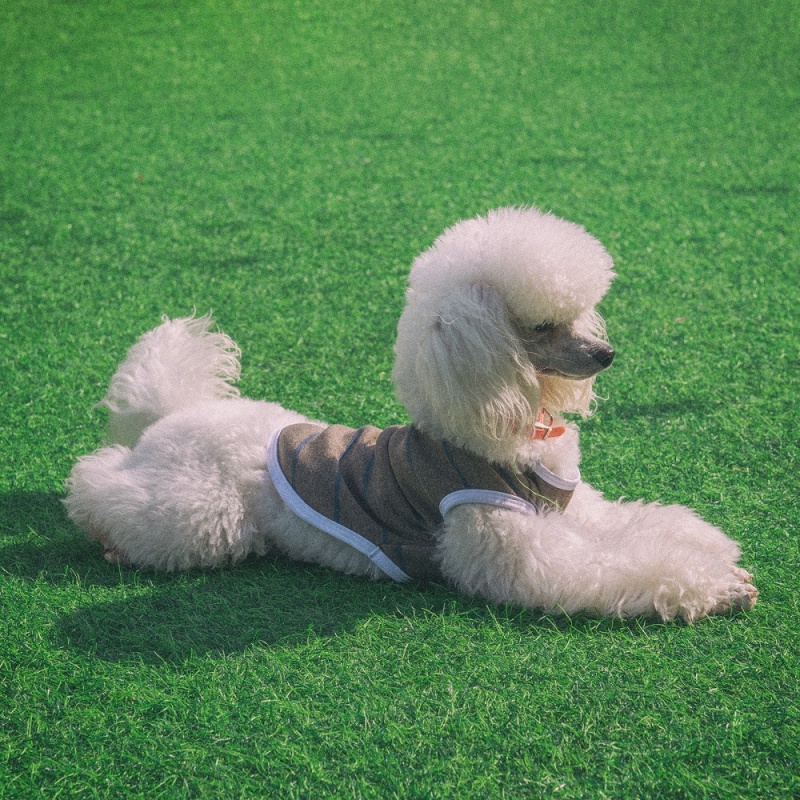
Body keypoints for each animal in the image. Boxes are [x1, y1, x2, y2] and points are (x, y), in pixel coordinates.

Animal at [67, 206, 756, 620]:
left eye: (582, 312)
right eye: (540, 326)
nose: (607, 354)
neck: (507, 436)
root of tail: (173, 414)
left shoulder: (570, 506)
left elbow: (631, 524)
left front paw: (702, 542)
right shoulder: (515, 552)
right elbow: (613, 566)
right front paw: (717, 585)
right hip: (203, 513)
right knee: (97, 482)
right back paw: (106, 530)